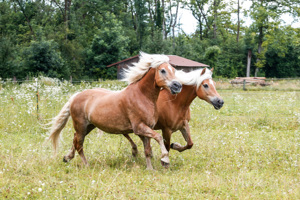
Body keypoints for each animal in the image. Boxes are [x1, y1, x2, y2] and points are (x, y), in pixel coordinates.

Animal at [47, 52, 182, 170]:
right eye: (163, 70)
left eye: (174, 70)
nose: (178, 86)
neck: (142, 96)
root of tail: (75, 96)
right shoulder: (139, 127)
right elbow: (158, 137)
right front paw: (165, 159)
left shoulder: (147, 129)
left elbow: (147, 150)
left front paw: (150, 169)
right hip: (81, 126)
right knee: (79, 145)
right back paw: (86, 165)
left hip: (88, 126)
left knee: (75, 139)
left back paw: (67, 157)